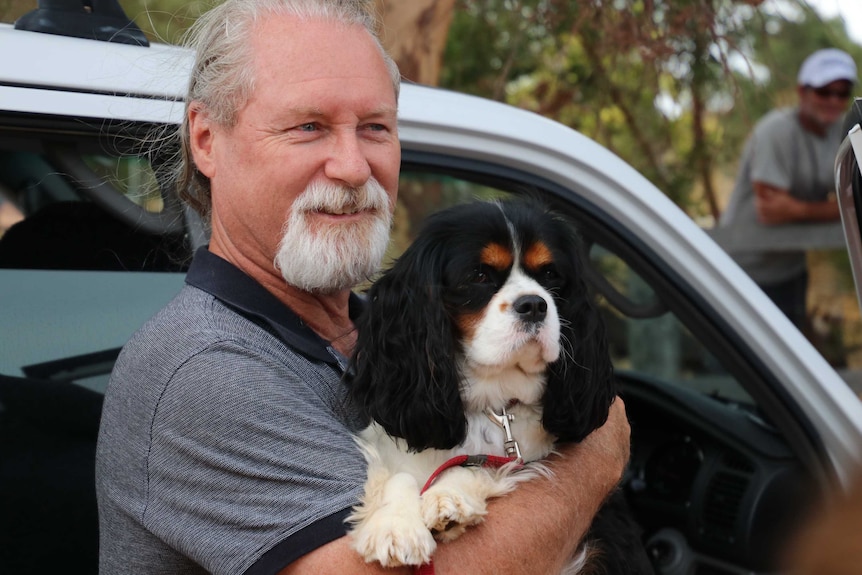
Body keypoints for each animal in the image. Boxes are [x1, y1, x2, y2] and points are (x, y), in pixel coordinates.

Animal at [348, 199, 652, 575]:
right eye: (479, 276)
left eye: (550, 275)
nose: (534, 304)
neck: (492, 404)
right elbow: (397, 476)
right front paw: (393, 526)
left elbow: (481, 466)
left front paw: (447, 498)